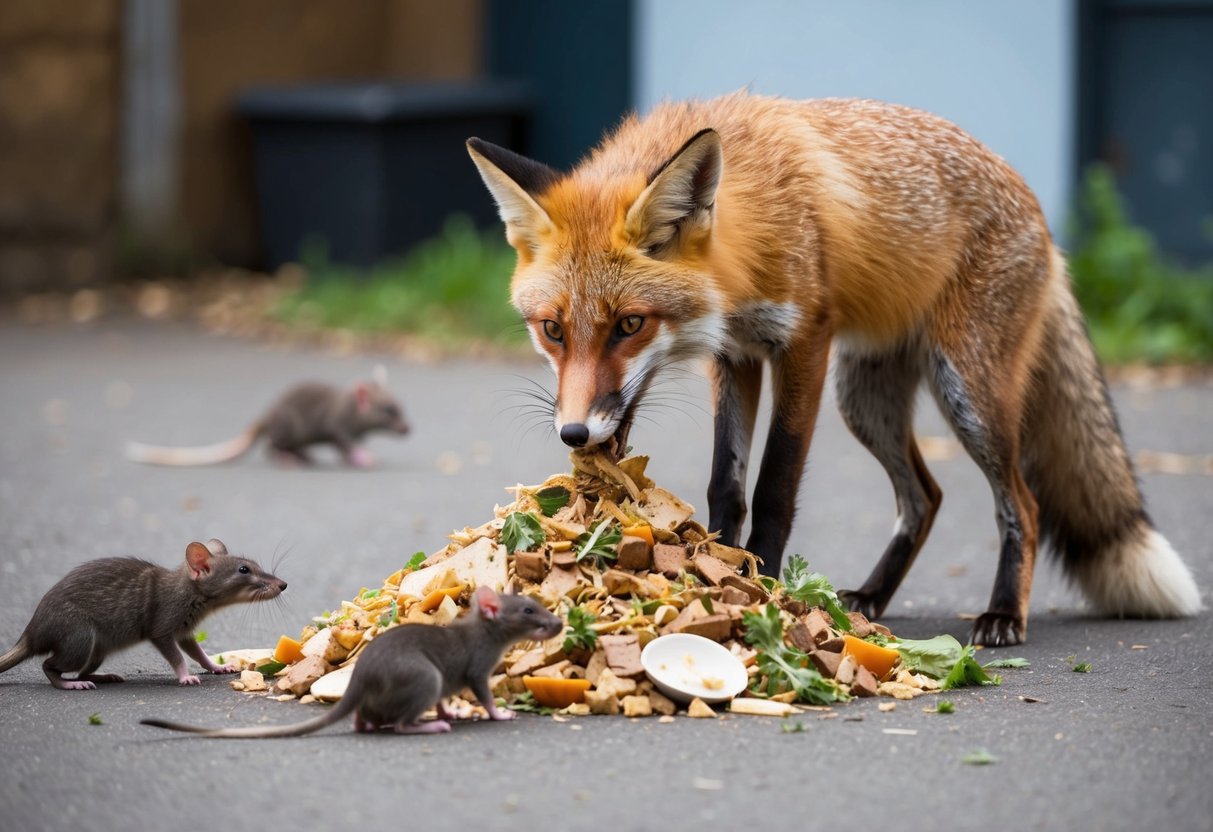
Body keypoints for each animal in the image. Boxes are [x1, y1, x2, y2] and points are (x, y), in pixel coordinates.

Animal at [466, 91, 1202, 646]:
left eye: (628, 325)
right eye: (553, 330)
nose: (575, 434)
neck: (751, 226)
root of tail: (1042, 217)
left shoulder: (803, 344)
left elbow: (774, 486)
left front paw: (762, 585)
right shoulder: (736, 356)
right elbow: (726, 487)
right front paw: (719, 571)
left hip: (964, 391)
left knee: (1021, 501)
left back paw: (1002, 614)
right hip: (866, 400)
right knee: (925, 497)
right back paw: (870, 596)